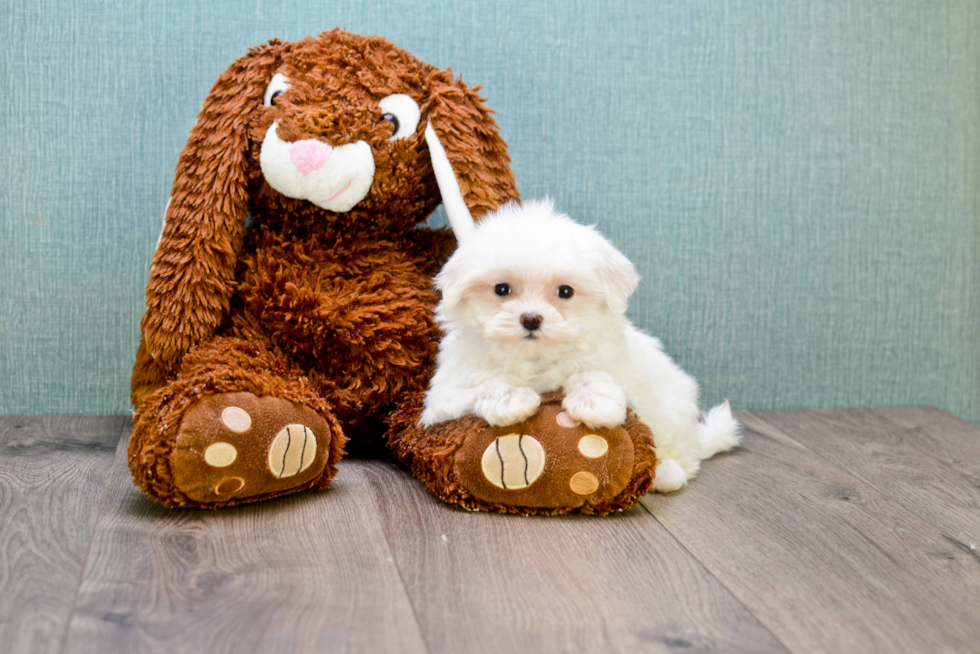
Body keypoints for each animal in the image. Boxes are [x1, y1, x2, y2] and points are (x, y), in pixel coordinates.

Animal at [418, 200, 740, 492]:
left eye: (565, 292)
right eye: (501, 289)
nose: (531, 318)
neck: (536, 357)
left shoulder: (611, 360)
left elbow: (591, 372)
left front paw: (595, 405)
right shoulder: (445, 396)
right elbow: (487, 381)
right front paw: (513, 401)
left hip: (672, 409)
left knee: (682, 456)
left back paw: (665, 473)